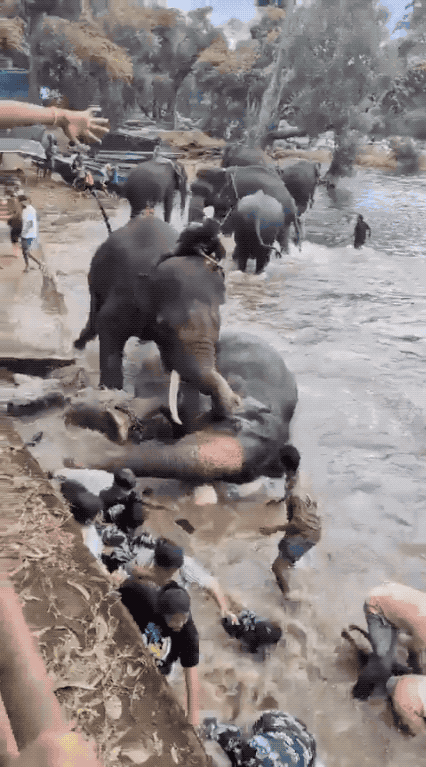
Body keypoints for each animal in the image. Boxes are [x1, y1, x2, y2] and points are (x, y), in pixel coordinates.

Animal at [73, 216, 239, 421]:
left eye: (218, 328)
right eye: (165, 326)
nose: (235, 402)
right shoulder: (126, 298)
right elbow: (107, 327)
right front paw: (111, 391)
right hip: (96, 273)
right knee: (94, 310)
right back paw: (78, 344)